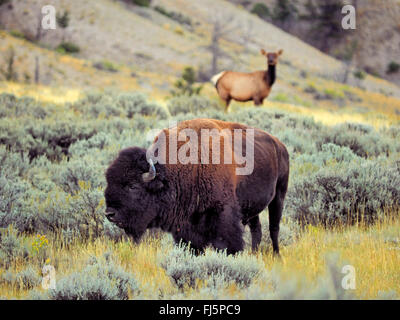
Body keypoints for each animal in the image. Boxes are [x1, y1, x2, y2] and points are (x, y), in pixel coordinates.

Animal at [104, 118, 290, 255]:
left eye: (133, 186)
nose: (109, 214)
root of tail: (280, 145)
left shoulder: (223, 216)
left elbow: (228, 244)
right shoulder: (186, 227)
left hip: (279, 196)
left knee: (274, 228)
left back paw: (276, 256)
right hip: (253, 207)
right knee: (256, 229)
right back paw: (254, 254)